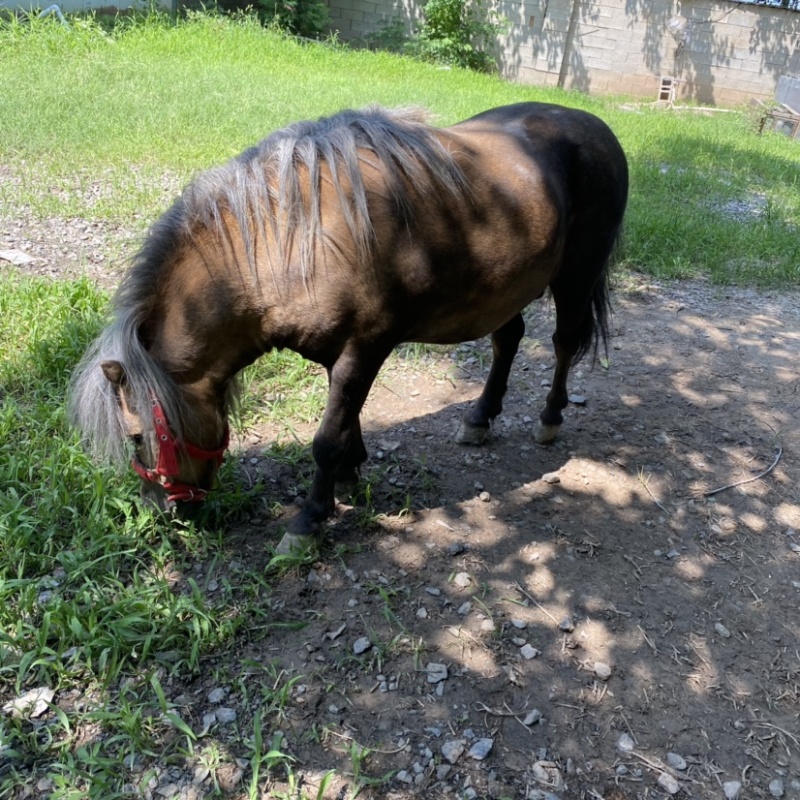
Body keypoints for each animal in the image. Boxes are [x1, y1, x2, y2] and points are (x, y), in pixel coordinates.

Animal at [69, 102, 629, 554]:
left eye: (137, 438)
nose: (161, 510)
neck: (297, 240)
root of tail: (595, 126)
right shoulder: (336, 353)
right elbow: (347, 420)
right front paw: (349, 475)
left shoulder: (365, 347)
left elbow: (326, 438)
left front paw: (308, 522)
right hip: (503, 288)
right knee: (507, 341)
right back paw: (479, 418)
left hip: (576, 277)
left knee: (563, 345)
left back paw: (549, 418)